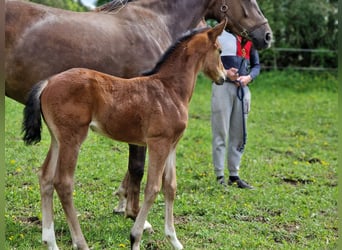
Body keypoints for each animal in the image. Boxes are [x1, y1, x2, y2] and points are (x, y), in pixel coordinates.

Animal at [5, 0, 272, 223]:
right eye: (249, 0)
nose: (267, 36)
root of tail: (47, 84)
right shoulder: (149, 130)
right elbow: (138, 168)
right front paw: (135, 214)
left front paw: (122, 203)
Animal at [22, 20, 228, 249]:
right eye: (220, 51)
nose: (223, 77)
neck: (170, 89)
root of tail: (48, 82)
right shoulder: (158, 143)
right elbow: (153, 188)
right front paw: (135, 238)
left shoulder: (172, 145)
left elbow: (170, 187)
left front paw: (175, 241)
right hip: (72, 138)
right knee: (63, 183)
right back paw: (81, 242)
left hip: (57, 139)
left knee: (45, 177)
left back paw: (50, 241)